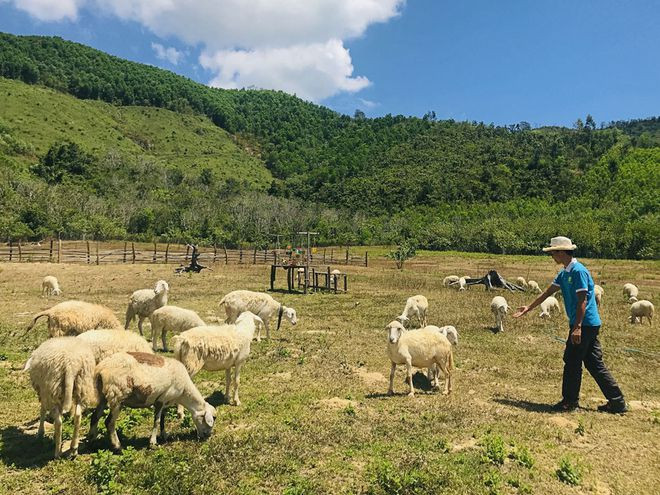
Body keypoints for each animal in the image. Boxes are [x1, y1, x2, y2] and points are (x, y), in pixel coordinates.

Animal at [87, 350, 215, 452]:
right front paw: (153, 442)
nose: (208, 436)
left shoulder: (166, 401)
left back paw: (92, 441)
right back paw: (117, 447)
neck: (184, 392)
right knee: (109, 422)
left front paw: (164, 435)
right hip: (117, 395)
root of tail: (100, 368)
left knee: (94, 417)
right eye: (213, 418)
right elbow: (157, 421)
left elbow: (163, 419)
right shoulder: (161, 400)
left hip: (103, 395)